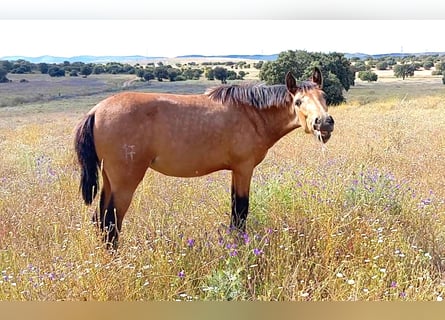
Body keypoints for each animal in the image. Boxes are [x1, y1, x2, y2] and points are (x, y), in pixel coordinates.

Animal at [74, 67, 332, 248]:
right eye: (298, 101)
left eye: (324, 96)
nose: (324, 122)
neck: (251, 114)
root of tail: (95, 111)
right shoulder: (244, 168)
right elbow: (241, 211)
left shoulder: (235, 171)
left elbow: (235, 211)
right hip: (125, 182)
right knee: (111, 223)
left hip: (109, 180)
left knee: (100, 220)